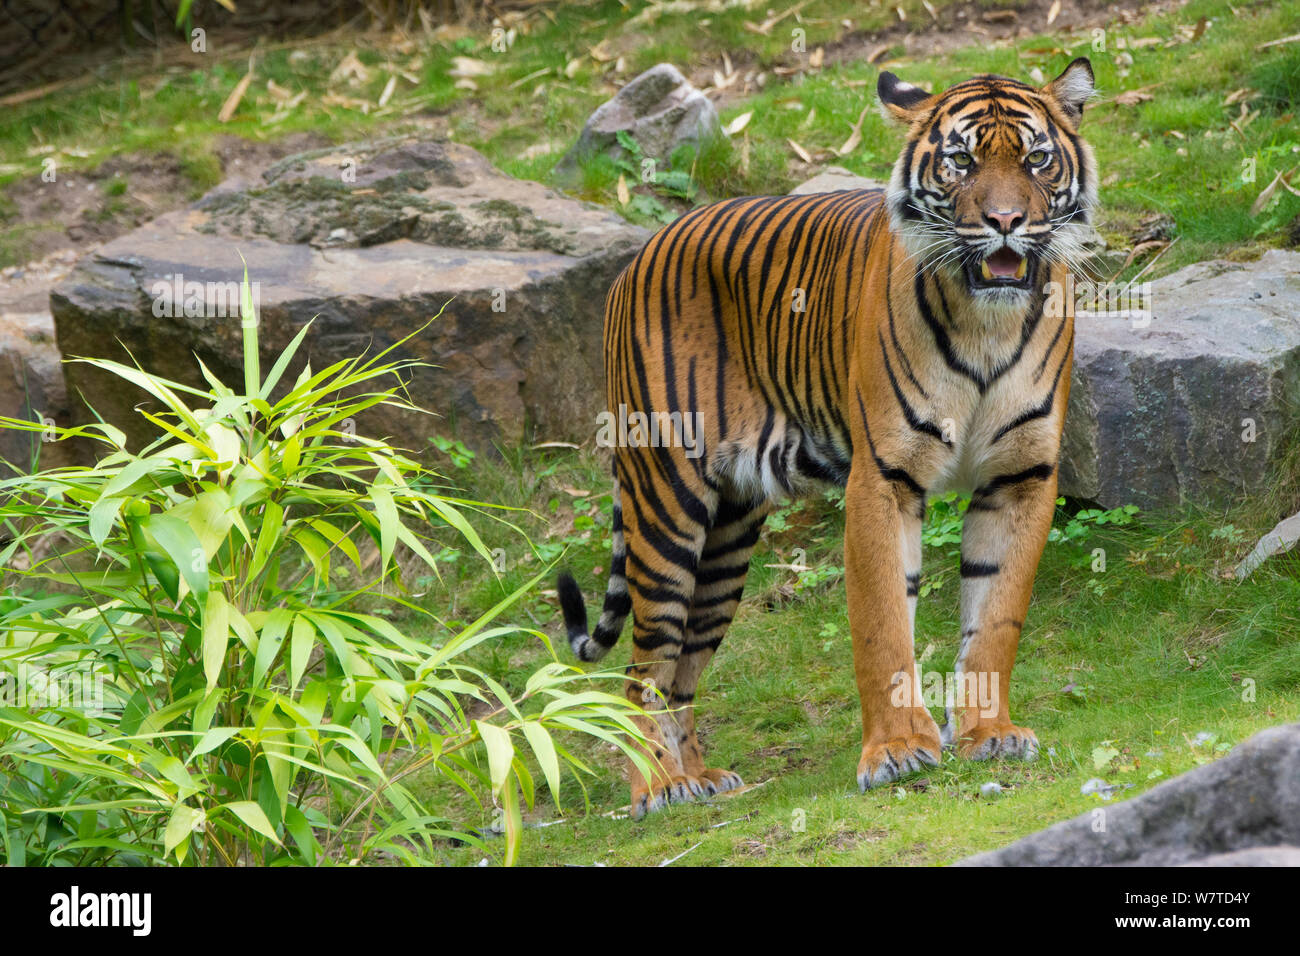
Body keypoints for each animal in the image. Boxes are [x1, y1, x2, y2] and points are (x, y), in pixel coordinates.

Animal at [556, 59, 1097, 816]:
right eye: (961, 162)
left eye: (1036, 160)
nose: (1006, 223)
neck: (987, 321)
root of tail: (641, 254)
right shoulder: (883, 478)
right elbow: (882, 625)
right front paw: (897, 751)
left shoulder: (1020, 477)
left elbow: (996, 620)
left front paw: (989, 734)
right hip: (666, 503)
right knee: (642, 671)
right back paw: (657, 787)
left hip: (727, 539)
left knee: (684, 668)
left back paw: (701, 779)